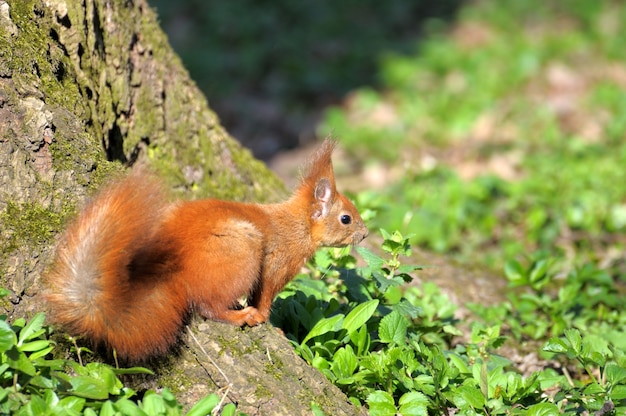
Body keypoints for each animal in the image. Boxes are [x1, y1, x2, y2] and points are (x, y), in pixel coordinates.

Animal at [45, 139, 366, 360]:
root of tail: (172, 267)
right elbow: (264, 296)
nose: (364, 234)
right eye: (346, 218)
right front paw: (270, 323)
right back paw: (241, 316)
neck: (298, 226)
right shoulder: (277, 265)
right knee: (208, 306)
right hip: (241, 252)